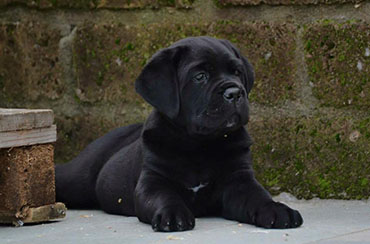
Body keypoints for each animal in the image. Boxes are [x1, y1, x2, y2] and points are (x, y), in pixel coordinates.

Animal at [55, 35, 304, 231]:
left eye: (236, 72)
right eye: (200, 76)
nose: (235, 92)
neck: (198, 144)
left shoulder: (239, 179)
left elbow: (258, 196)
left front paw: (276, 209)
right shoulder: (152, 182)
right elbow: (164, 197)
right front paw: (172, 214)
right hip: (78, 176)